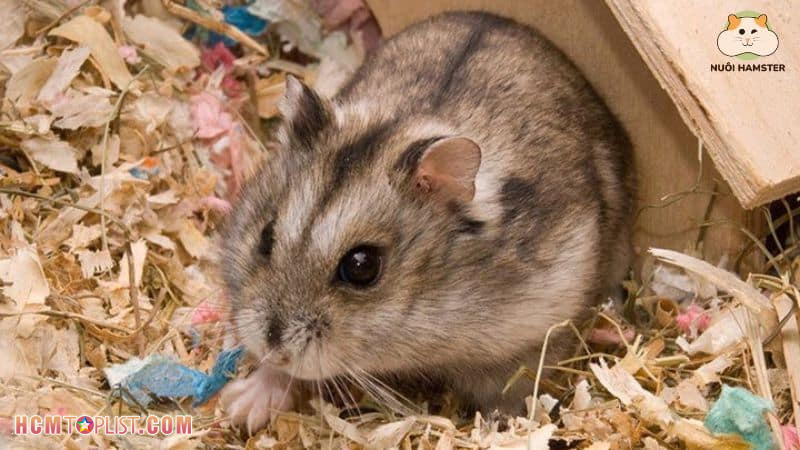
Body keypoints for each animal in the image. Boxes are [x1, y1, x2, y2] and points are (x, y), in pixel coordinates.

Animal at [219, 11, 635, 433]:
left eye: (362, 266)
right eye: (266, 236)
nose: (274, 346)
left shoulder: (538, 330)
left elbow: (514, 389)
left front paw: (500, 426)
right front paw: (240, 407)